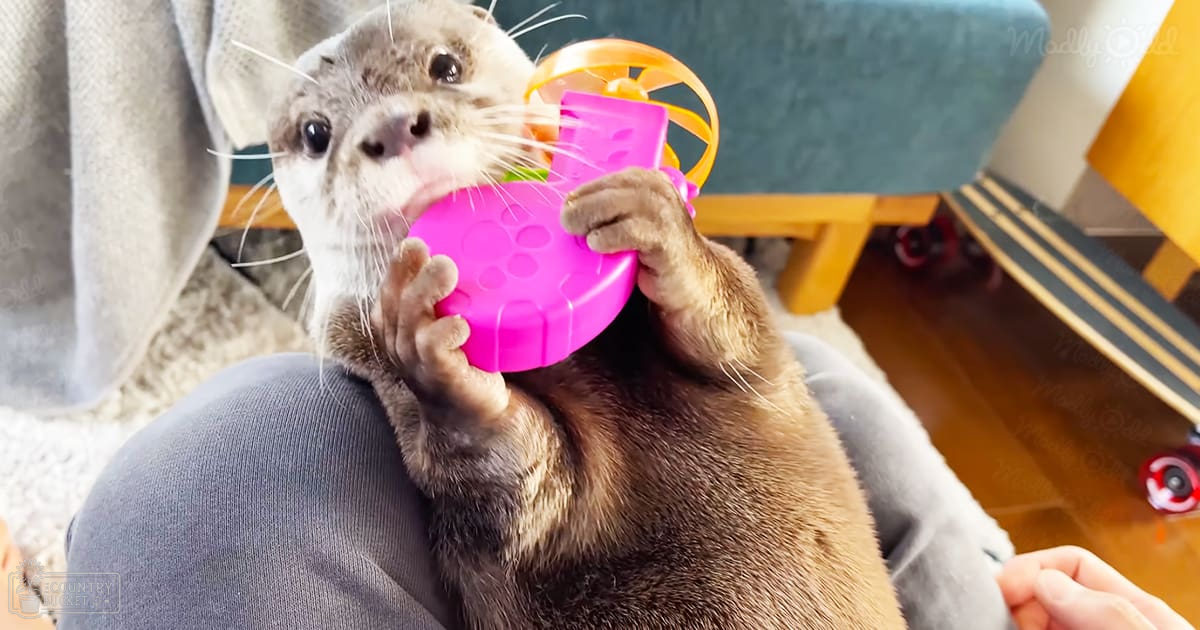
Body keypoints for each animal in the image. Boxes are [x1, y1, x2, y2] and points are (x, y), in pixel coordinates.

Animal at [266, 1, 906, 628]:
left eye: (445, 65)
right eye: (316, 132)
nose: (392, 126)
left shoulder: (761, 364)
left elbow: (739, 324)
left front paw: (655, 221)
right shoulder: (371, 362)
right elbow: (511, 483)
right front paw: (435, 352)